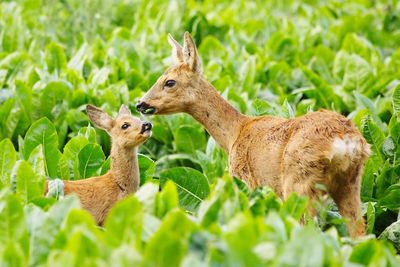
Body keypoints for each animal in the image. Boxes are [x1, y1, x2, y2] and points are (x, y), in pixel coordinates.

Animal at [137, 32, 368, 238]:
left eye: (169, 82)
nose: (140, 103)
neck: (235, 133)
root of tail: (345, 142)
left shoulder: (245, 181)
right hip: (350, 184)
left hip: (299, 184)